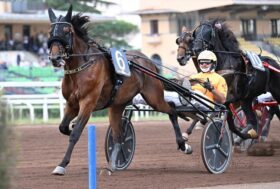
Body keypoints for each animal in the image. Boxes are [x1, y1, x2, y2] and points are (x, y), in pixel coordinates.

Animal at [48, 4, 188, 176]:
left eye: (67, 31)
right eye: (51, 32)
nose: (55, 58)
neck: (81, 68)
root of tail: (149, 61)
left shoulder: (87, 103)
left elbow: (75, 134)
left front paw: (62, 164)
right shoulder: (72, 104)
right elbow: (62, 127)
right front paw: (70, 127)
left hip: (153, 97)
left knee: (172, 110)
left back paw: (183, 145)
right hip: (117, 105)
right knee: (118, 136)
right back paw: (113, 165)